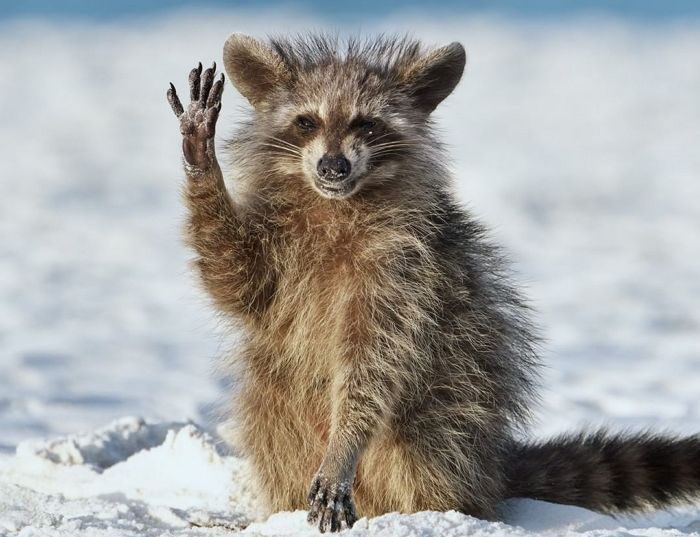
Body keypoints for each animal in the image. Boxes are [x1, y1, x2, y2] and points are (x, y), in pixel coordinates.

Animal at [168, 34, 700, 532]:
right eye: (306, 122)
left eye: (366, 124)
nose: (333, 166)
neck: (337, 204)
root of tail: (490, 469)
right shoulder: (278, 245)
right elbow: (233, 278)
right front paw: (201, 160)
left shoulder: (405, 268)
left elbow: (374, 361)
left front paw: (345, 445)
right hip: (276, 397)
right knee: (272, 431)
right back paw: (273, 513)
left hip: (455, 403)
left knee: (429, 441)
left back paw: (433, 509)